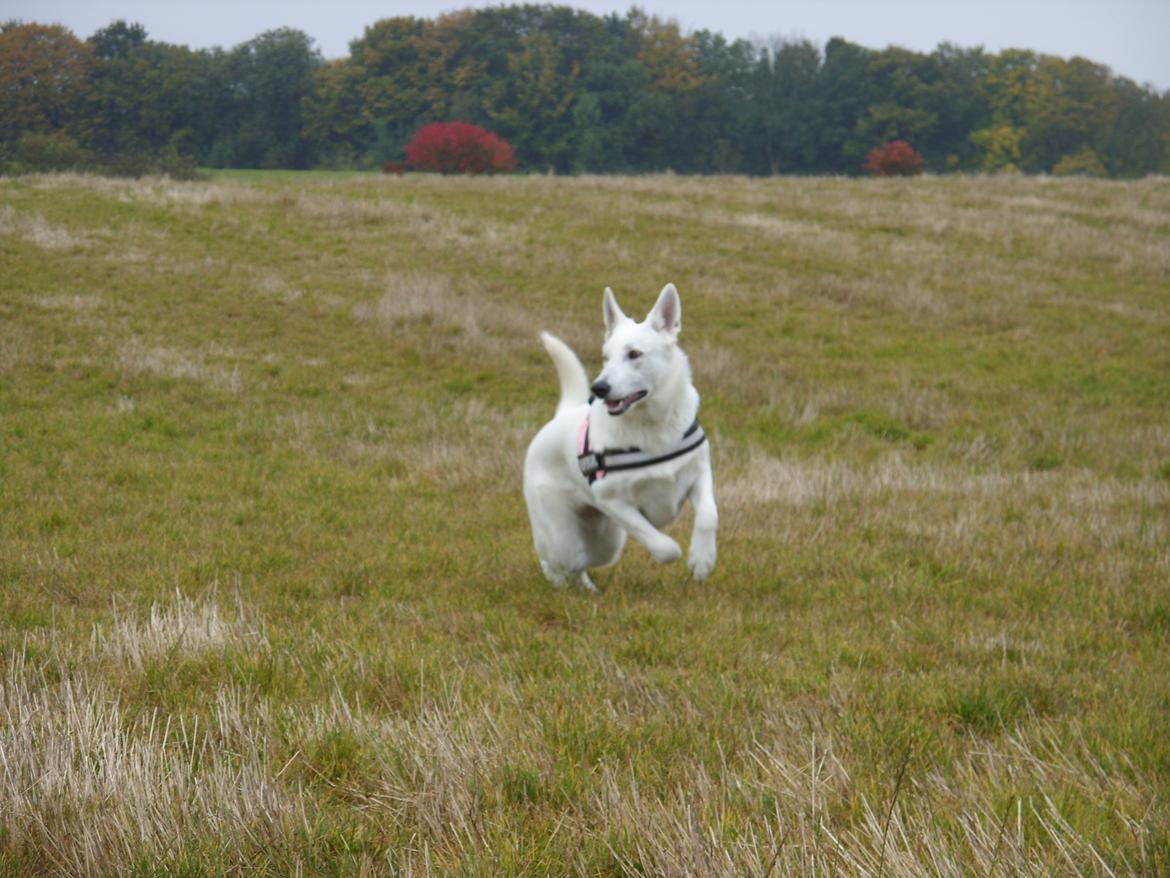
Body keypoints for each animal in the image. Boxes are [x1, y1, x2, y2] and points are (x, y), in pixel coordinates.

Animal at [526, 286, 716, 592]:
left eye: (634, 353)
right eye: (606, 356)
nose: (599, 388)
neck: (651, 426)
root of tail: (562, 414)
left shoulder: (700, 473)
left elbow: (709, 515)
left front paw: (702, 561)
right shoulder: (613, 502)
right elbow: (664, 547)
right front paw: (677, 552)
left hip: (607, 541)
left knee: (583, 563)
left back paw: (587, 589)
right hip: (564, 539)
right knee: (561, 560)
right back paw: (561, 584)